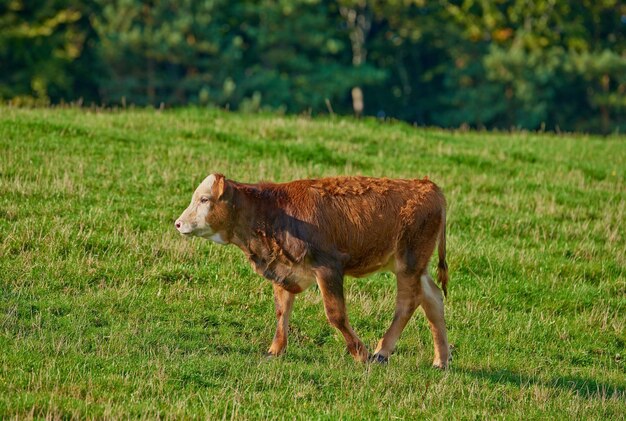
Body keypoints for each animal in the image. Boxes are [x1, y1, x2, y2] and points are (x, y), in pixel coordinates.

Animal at [176, 172, 448, 366]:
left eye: (204, 199)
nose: (178, 223)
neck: (273, 212)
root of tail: (428, 186)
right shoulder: (284, 270)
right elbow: (282, 311)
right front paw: (275, 350)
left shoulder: (328, 267)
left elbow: (335, 315)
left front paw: (360, 353)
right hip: (415, 266)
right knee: (432, 298)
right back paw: (441, 360)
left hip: (409, 262)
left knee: (408, 302)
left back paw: (381, 351)